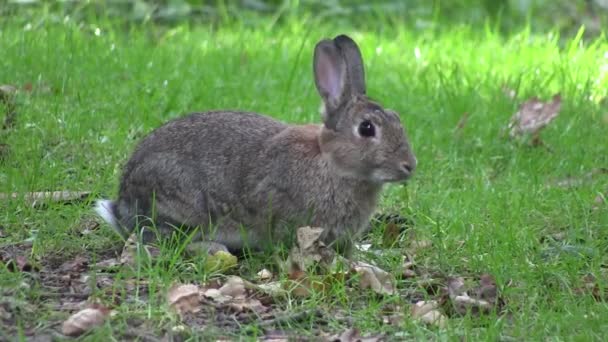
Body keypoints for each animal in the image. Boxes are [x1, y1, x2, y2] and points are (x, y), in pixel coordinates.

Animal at [96, 34, 418, 255]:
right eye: (366, 128)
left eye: (397, 118)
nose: (409, 166)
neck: (331, 164)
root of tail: (122, 204)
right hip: (181, 203)